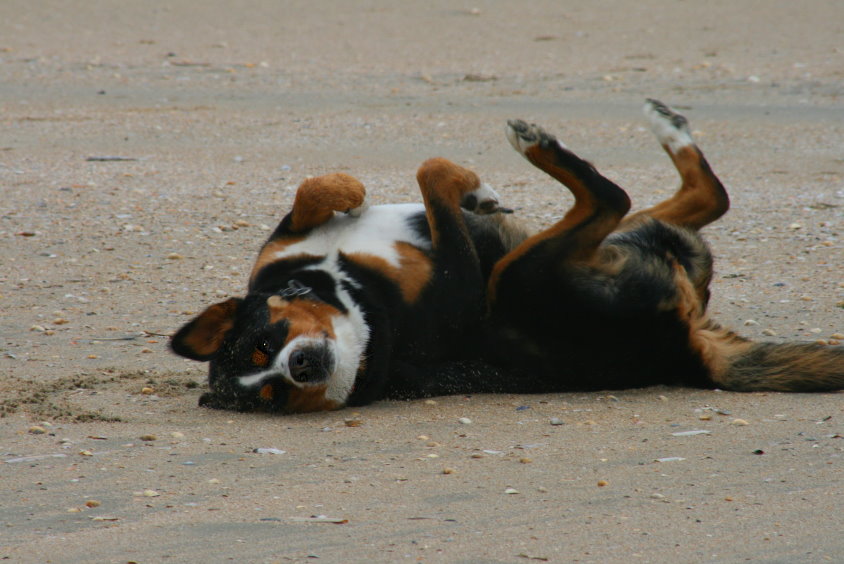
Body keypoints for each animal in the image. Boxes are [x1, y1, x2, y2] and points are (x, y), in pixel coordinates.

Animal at [171, 99, 844, 412]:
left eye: (265, 343)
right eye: (273, 397)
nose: (303, 366)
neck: (352, 298)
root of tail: (689, 350)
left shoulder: (283, 247)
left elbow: (322, 190)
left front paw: (363, 190)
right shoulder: (464, 281)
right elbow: (431, 176)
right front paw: (471, 187)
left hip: (596, 245)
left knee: (697, 197)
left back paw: (664, 127)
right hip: (523, 276)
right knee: (614, 196)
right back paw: (544, 144)